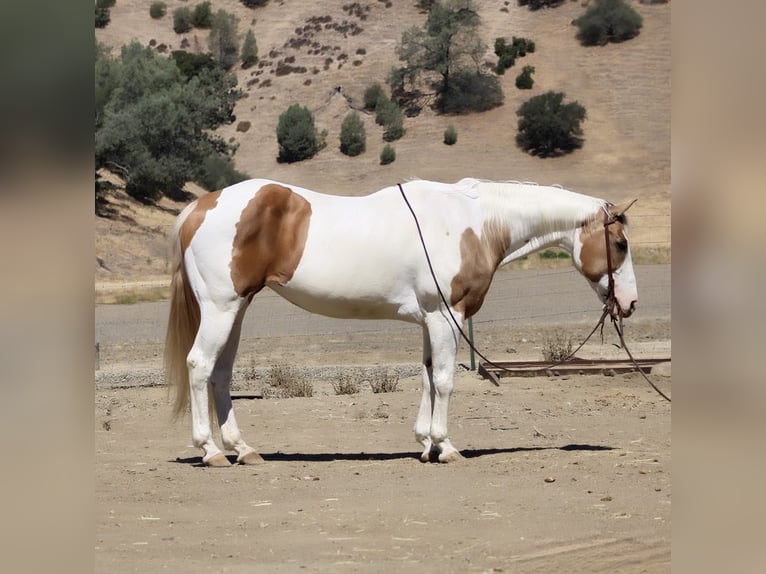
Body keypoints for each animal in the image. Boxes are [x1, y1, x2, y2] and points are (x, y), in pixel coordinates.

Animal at [164, 177, 638, 466]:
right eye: (619, 243)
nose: (630, 302)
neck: (472, 224)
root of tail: (200, 207)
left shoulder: (431, 319)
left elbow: (427, 375)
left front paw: (425, 444)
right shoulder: (448, 317)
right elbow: (445, 379)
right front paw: (446, 446)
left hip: (236, 309)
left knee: (221, 374)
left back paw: (242, 449)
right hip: (221, 308)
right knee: (200, 366)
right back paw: (210, 451)